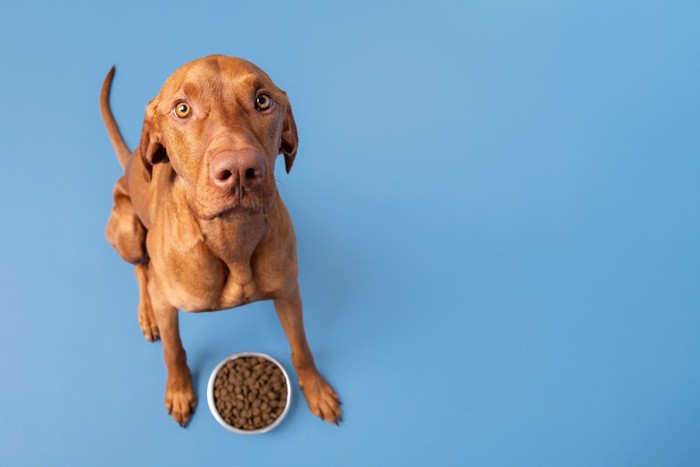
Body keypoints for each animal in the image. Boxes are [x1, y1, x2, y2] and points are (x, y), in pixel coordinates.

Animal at [101, 54, 342, 428]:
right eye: (182, 108)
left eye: (263, 100)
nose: (240, 170)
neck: (231, 238)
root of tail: (129, 162)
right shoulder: (167, 301)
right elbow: (173, 350)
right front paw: (180, 390)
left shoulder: (288, 292)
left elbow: (301, 346)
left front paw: (315, 388)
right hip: (127, 230)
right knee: (141, 270)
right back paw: (147, 314)